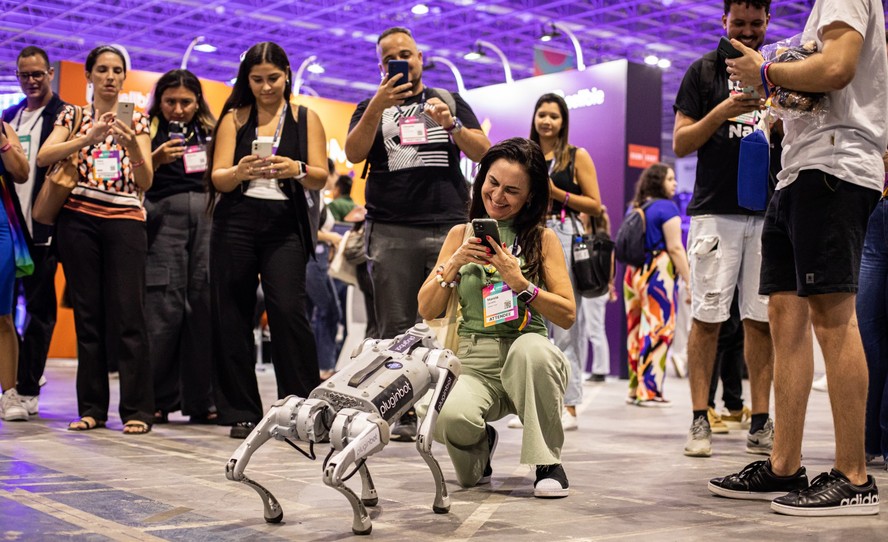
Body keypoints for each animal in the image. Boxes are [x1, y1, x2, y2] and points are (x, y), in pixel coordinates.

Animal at [224, 326, 458, 536]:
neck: (406, 346)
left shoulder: (445, 365)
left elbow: (422, 441)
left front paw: (441, 501)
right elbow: (422, 443)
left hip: (336, 419)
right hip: (305, 411)